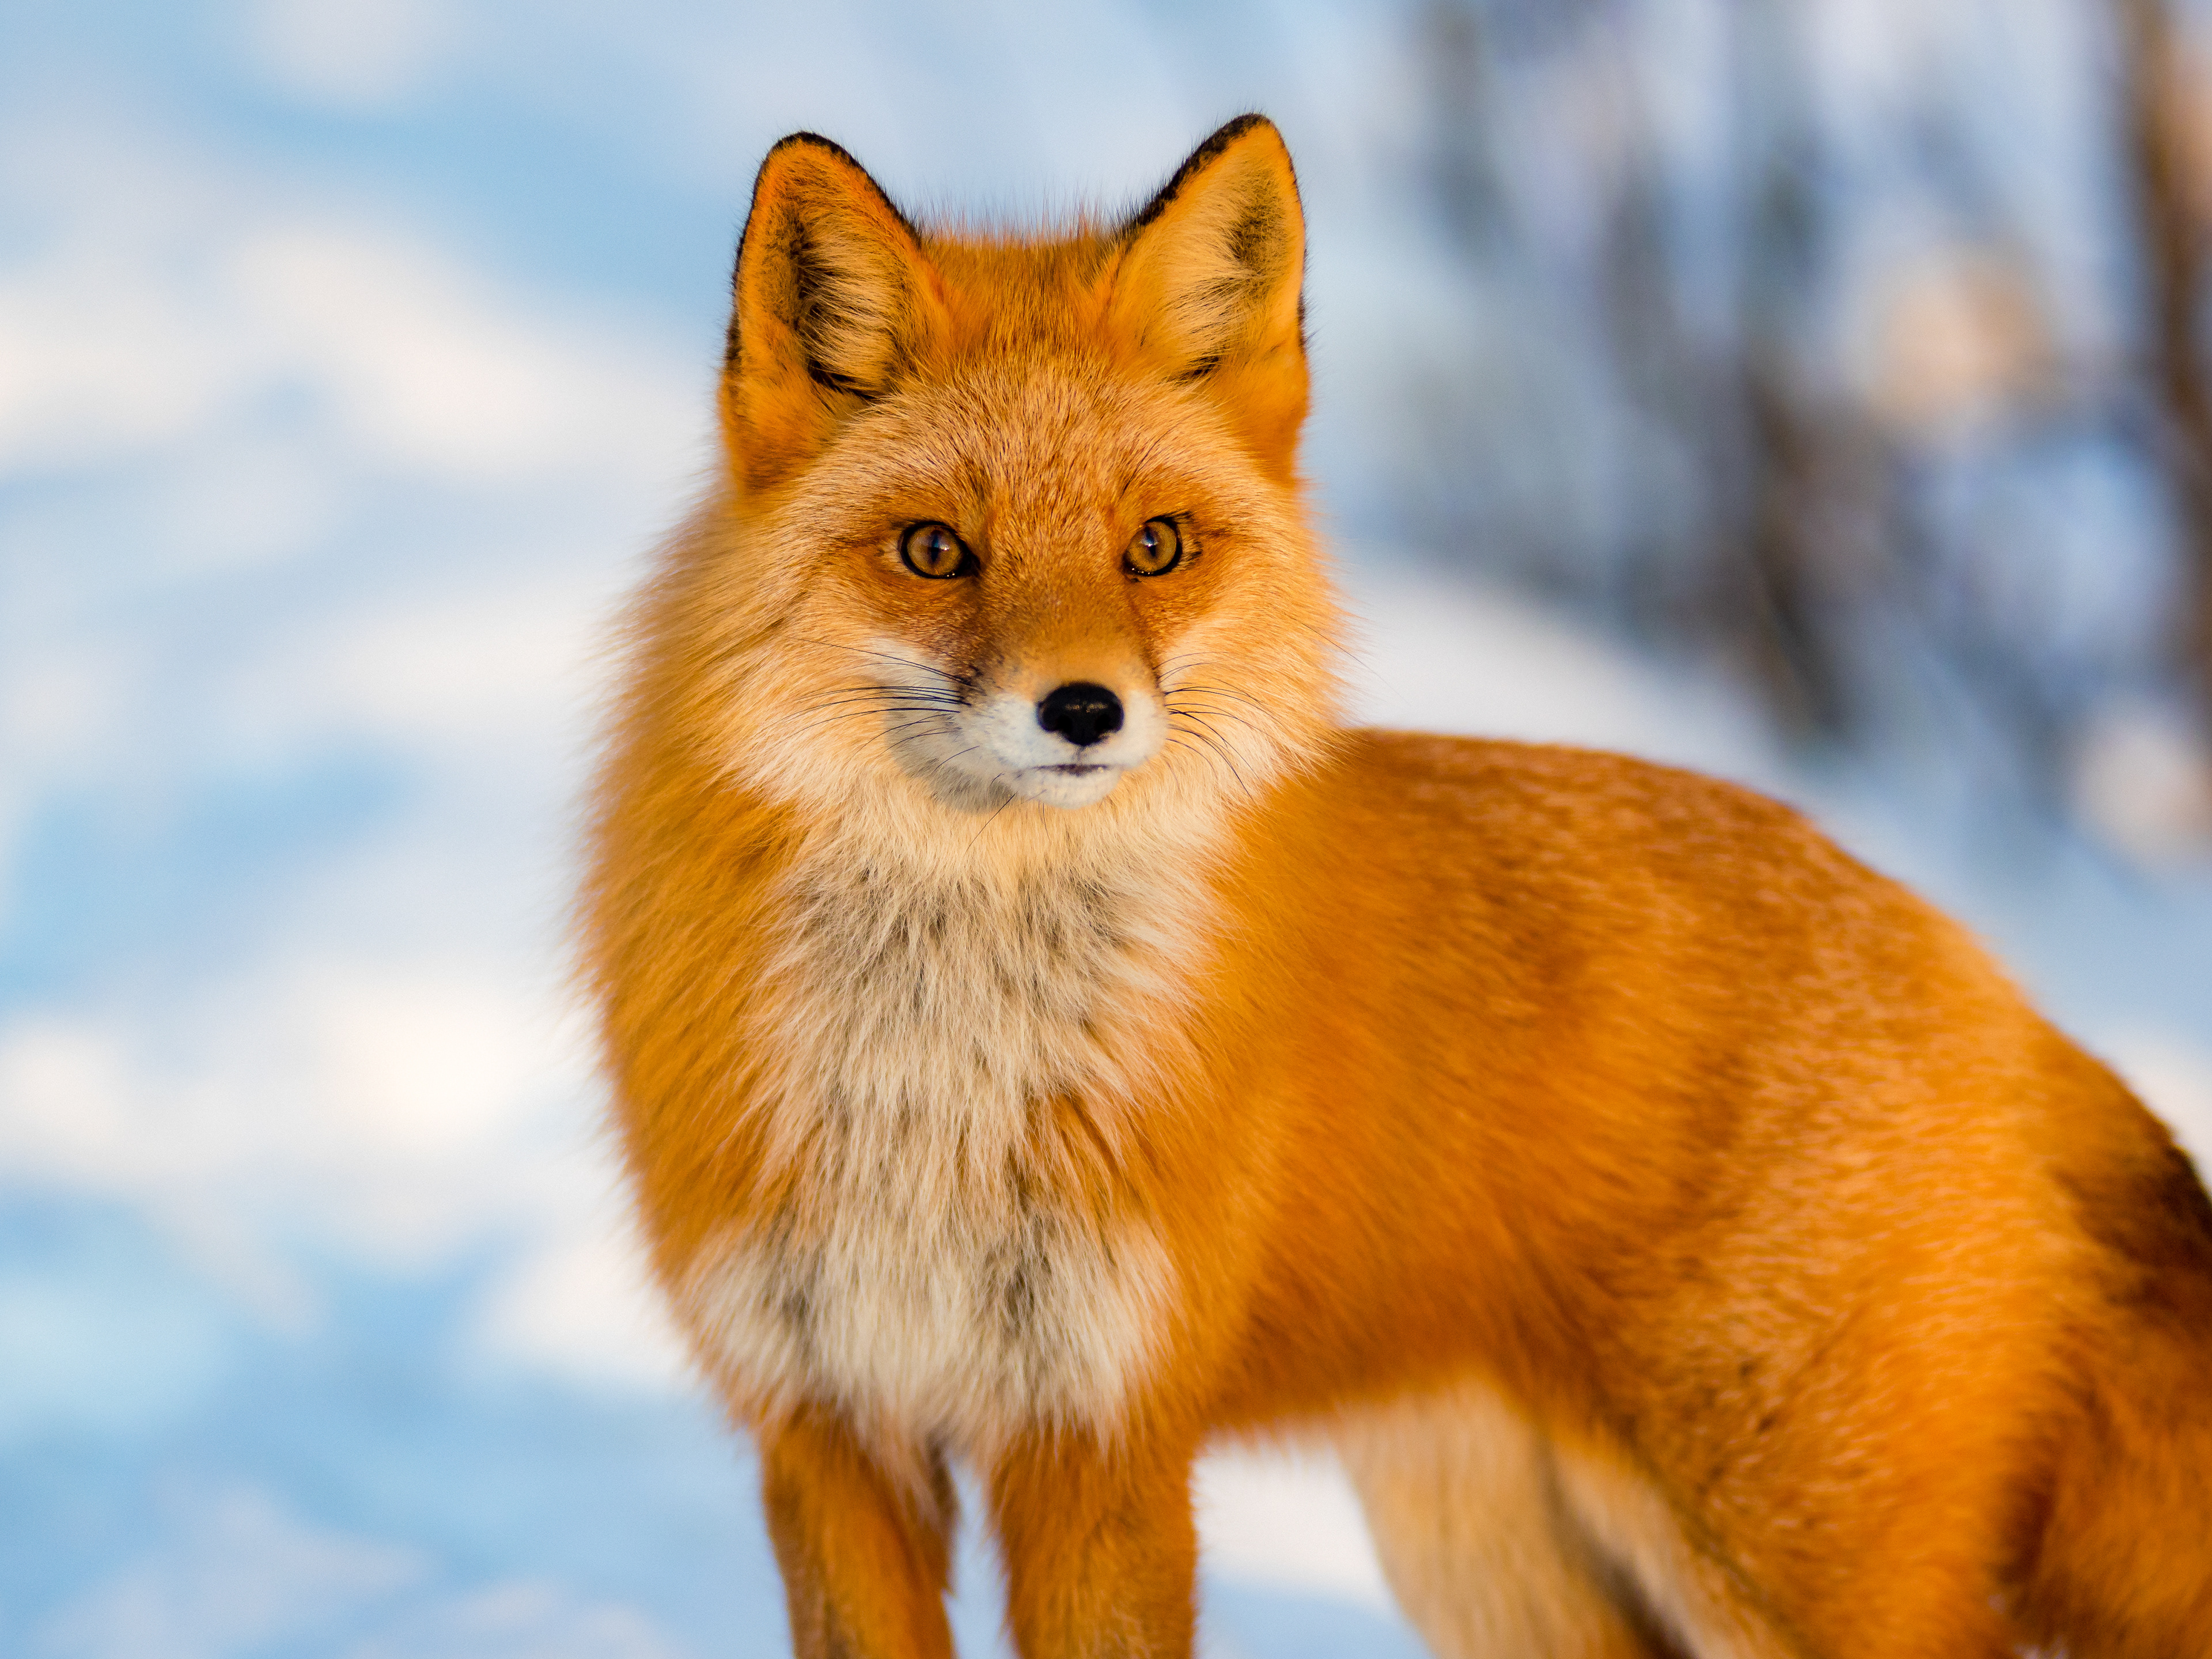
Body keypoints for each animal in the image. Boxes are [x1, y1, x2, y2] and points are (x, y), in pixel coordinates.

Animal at [582, 115, 2212, 1658]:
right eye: (934, 551)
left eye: (1154, 546)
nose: (1086, 711)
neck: (942, 1088)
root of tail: (1988, 978)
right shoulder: (827, 1426)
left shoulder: (1105, 1431)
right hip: (1495, 1566)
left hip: (1784, 1562)